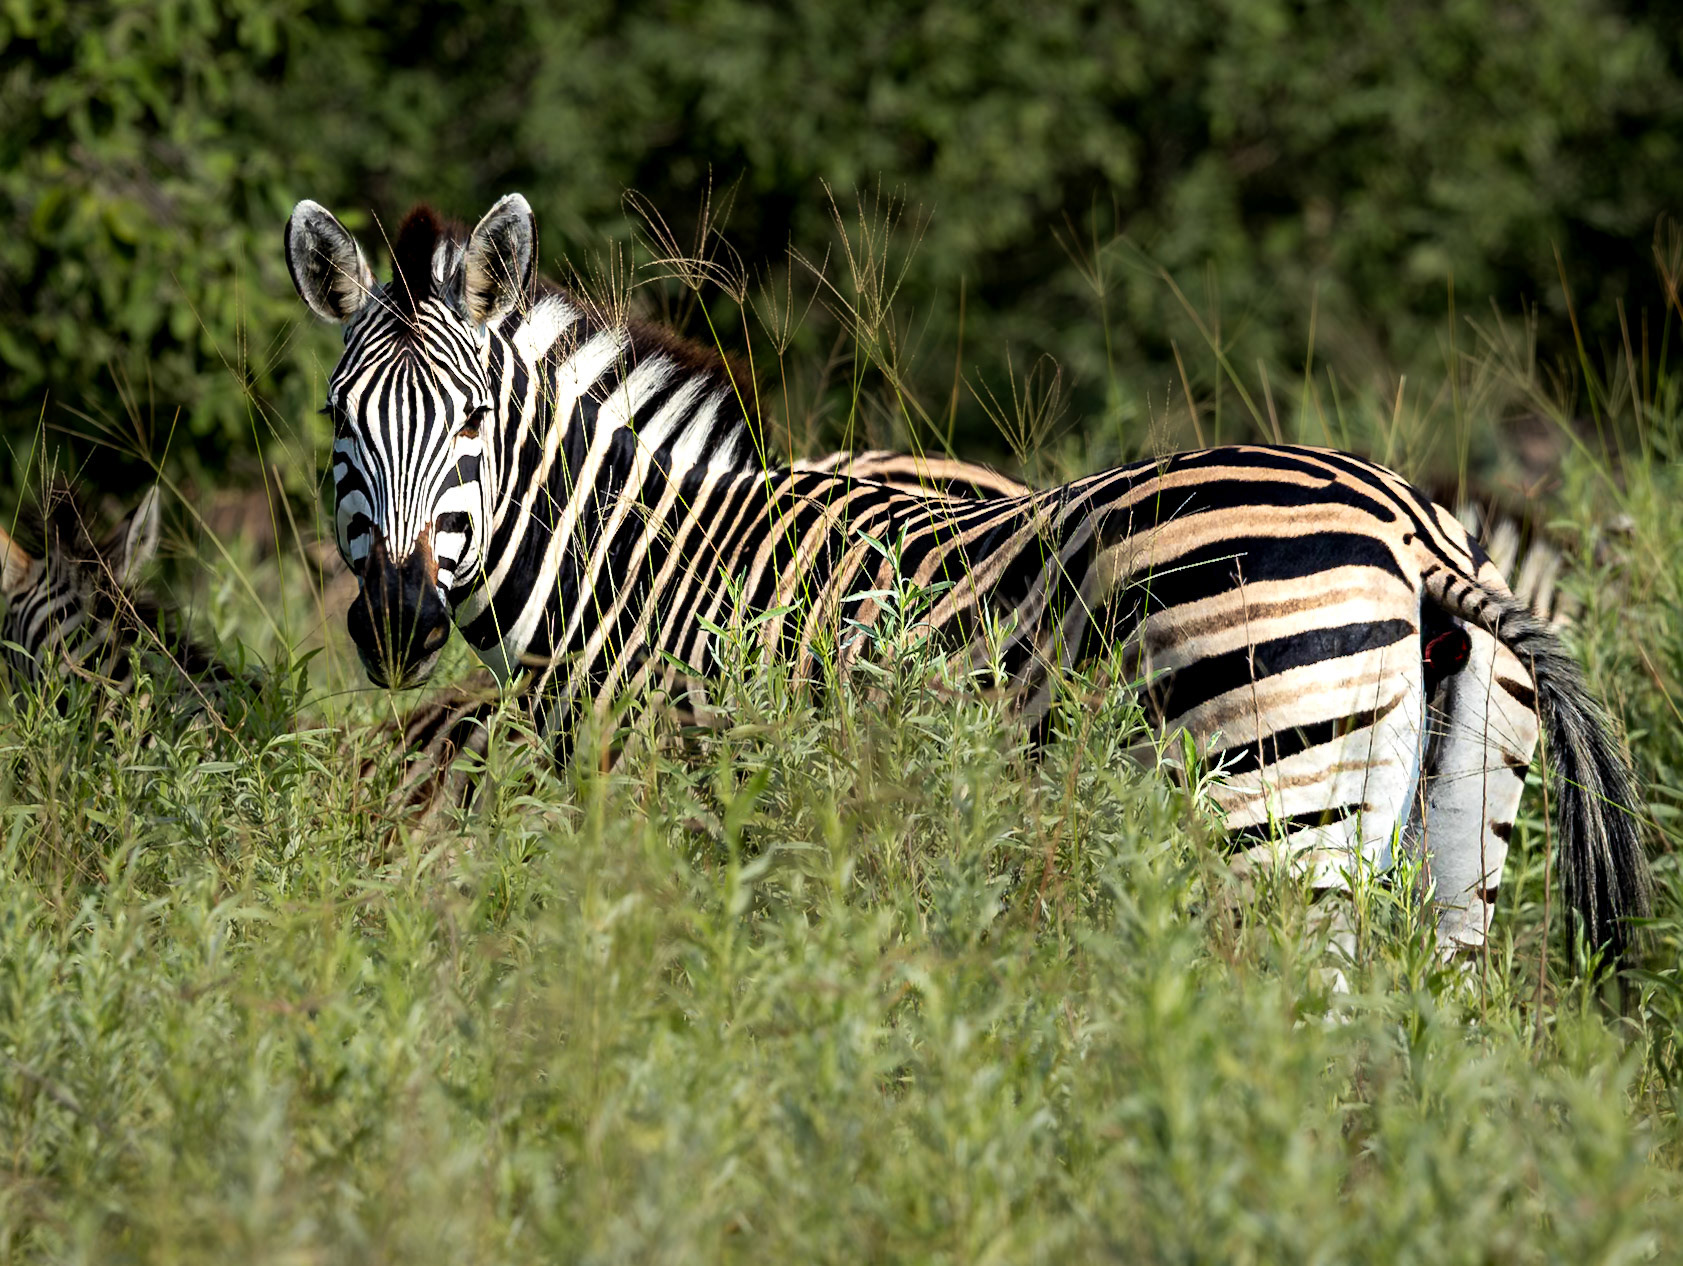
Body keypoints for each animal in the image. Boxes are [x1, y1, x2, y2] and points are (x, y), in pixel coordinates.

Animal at [285, 193, 1651, 962]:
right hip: (1457, 836)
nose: (398, 625)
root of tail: (1418, 532)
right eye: (339, 422)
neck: (642, 565)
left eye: (473, 425)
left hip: (1267, 811)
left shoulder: (681, 815)